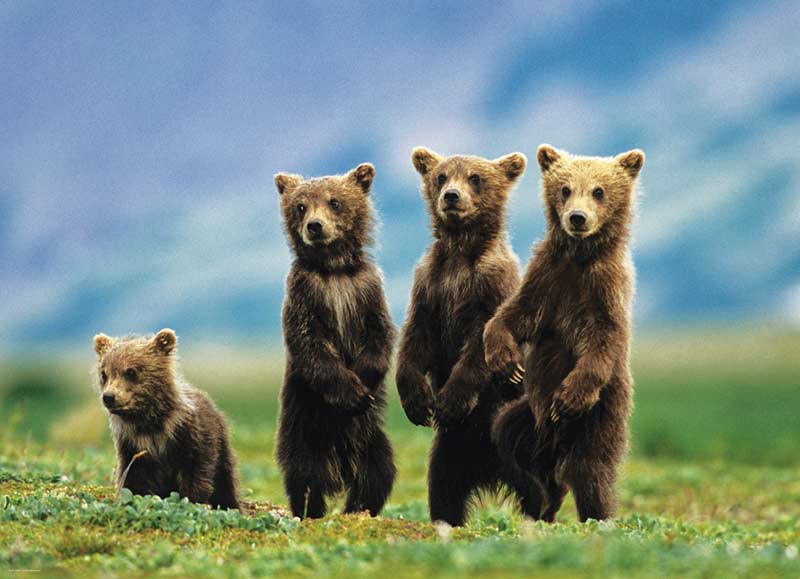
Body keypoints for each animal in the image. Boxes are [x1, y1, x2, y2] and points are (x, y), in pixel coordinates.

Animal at [93, 329, 240, 509]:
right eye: (104, 374)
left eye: (131, 371)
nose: (109, 397)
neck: (150, 423)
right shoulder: (132, 444)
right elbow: (133, 477)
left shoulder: (190, 436)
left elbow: (196, 472)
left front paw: (193, 500)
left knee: (225, 481)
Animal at [274, 163, 397, 519]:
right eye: (301, 206)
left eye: (335, 201)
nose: (315, 226)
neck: (334, 271)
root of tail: (340, 468)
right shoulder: (306, 293)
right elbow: (310, 345)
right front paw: (351, 391)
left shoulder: (366, 290)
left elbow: (380, 335)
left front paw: (365, 379)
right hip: (305, 428)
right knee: (305, 475)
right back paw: (310, 509)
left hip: (370, 438)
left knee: (378, 471)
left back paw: (359, 508)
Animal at [395, 147, 534, 526]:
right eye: (441, 176)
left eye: (476, 177)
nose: (451, 196)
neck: (460, 252)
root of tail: (489, 470)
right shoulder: (430, 286)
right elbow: (415, 339)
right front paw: (417, 401)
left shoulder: (490, 288)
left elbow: (478, 349)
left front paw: (450, 400)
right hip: (450, 450)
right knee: (444, 487)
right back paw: (446, 519)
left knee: (537, 485)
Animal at [483, 144, 645, 522]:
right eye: (565, 188)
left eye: (599, 191)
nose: (577, 218)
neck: (579, 259)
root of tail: (554, 441)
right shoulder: (547, 277)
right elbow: (513, 315)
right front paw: (506, 362)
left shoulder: (603, 291)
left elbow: (602, 341)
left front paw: (569, 397)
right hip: (526, 416)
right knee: (506, 440)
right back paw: (540, 501)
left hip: (601, 417)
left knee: (590, 471)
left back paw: (593, 514)